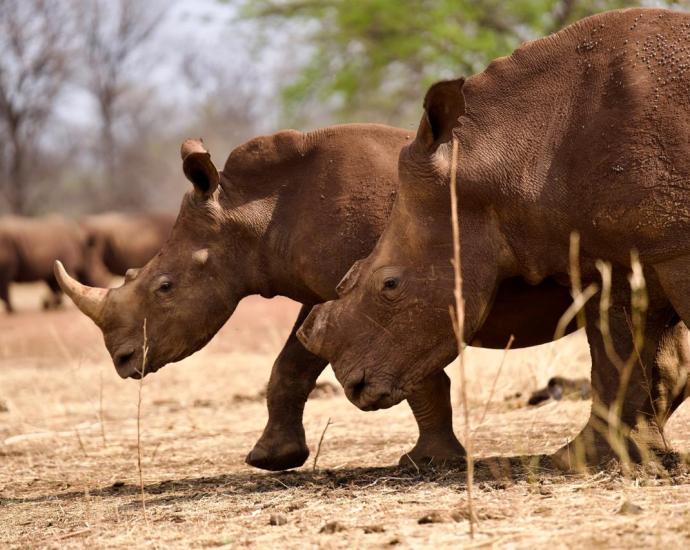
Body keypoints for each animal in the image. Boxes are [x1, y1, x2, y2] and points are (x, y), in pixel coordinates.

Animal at [57, 124, 609, 471]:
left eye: (164, 287)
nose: (123, 360)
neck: (252, 217)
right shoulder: (329, 293)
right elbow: (290, 365)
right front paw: (272, 460)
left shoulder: (401, 299)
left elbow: (419, 375)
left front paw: (427, 462)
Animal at [298, 8, 690, 468]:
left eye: (390, 284)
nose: (354, 386)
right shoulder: (624, 254)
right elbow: (619, 355)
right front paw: (583, 460)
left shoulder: (675, 243)